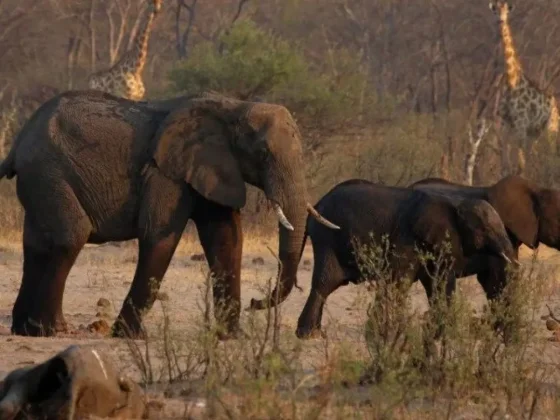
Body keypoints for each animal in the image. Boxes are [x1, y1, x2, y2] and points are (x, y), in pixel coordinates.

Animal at [0, 90, 340, 340]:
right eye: (263, 154)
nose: (257, 303)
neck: (234, 106)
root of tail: (18, 142)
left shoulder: (212, 168)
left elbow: (227, 240)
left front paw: (231, 337)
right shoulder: (167, 173)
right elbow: (160, 236)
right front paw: (130, 337)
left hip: (40, 179)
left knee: (36, 244)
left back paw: (25, 330)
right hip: (48, 172)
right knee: (71, 236)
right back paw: (53, 331)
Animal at [290, 179, 520, 340]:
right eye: (486, 230)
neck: (455, 204)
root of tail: (316, 204)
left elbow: (439, 284)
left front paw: (439, 333)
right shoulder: (407, 237)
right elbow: (399, 282)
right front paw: (388, 333)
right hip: (327, 238)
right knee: (325, 283)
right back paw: (309, 335)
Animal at [488, 0, 556, 153]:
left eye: (506, 12)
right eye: (495, 11)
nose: (501, 20)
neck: (511, 80)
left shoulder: (521, 124)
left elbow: (520, 156)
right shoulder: (505, 125)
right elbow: (506, 154)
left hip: (551, 128)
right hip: (536, 132)